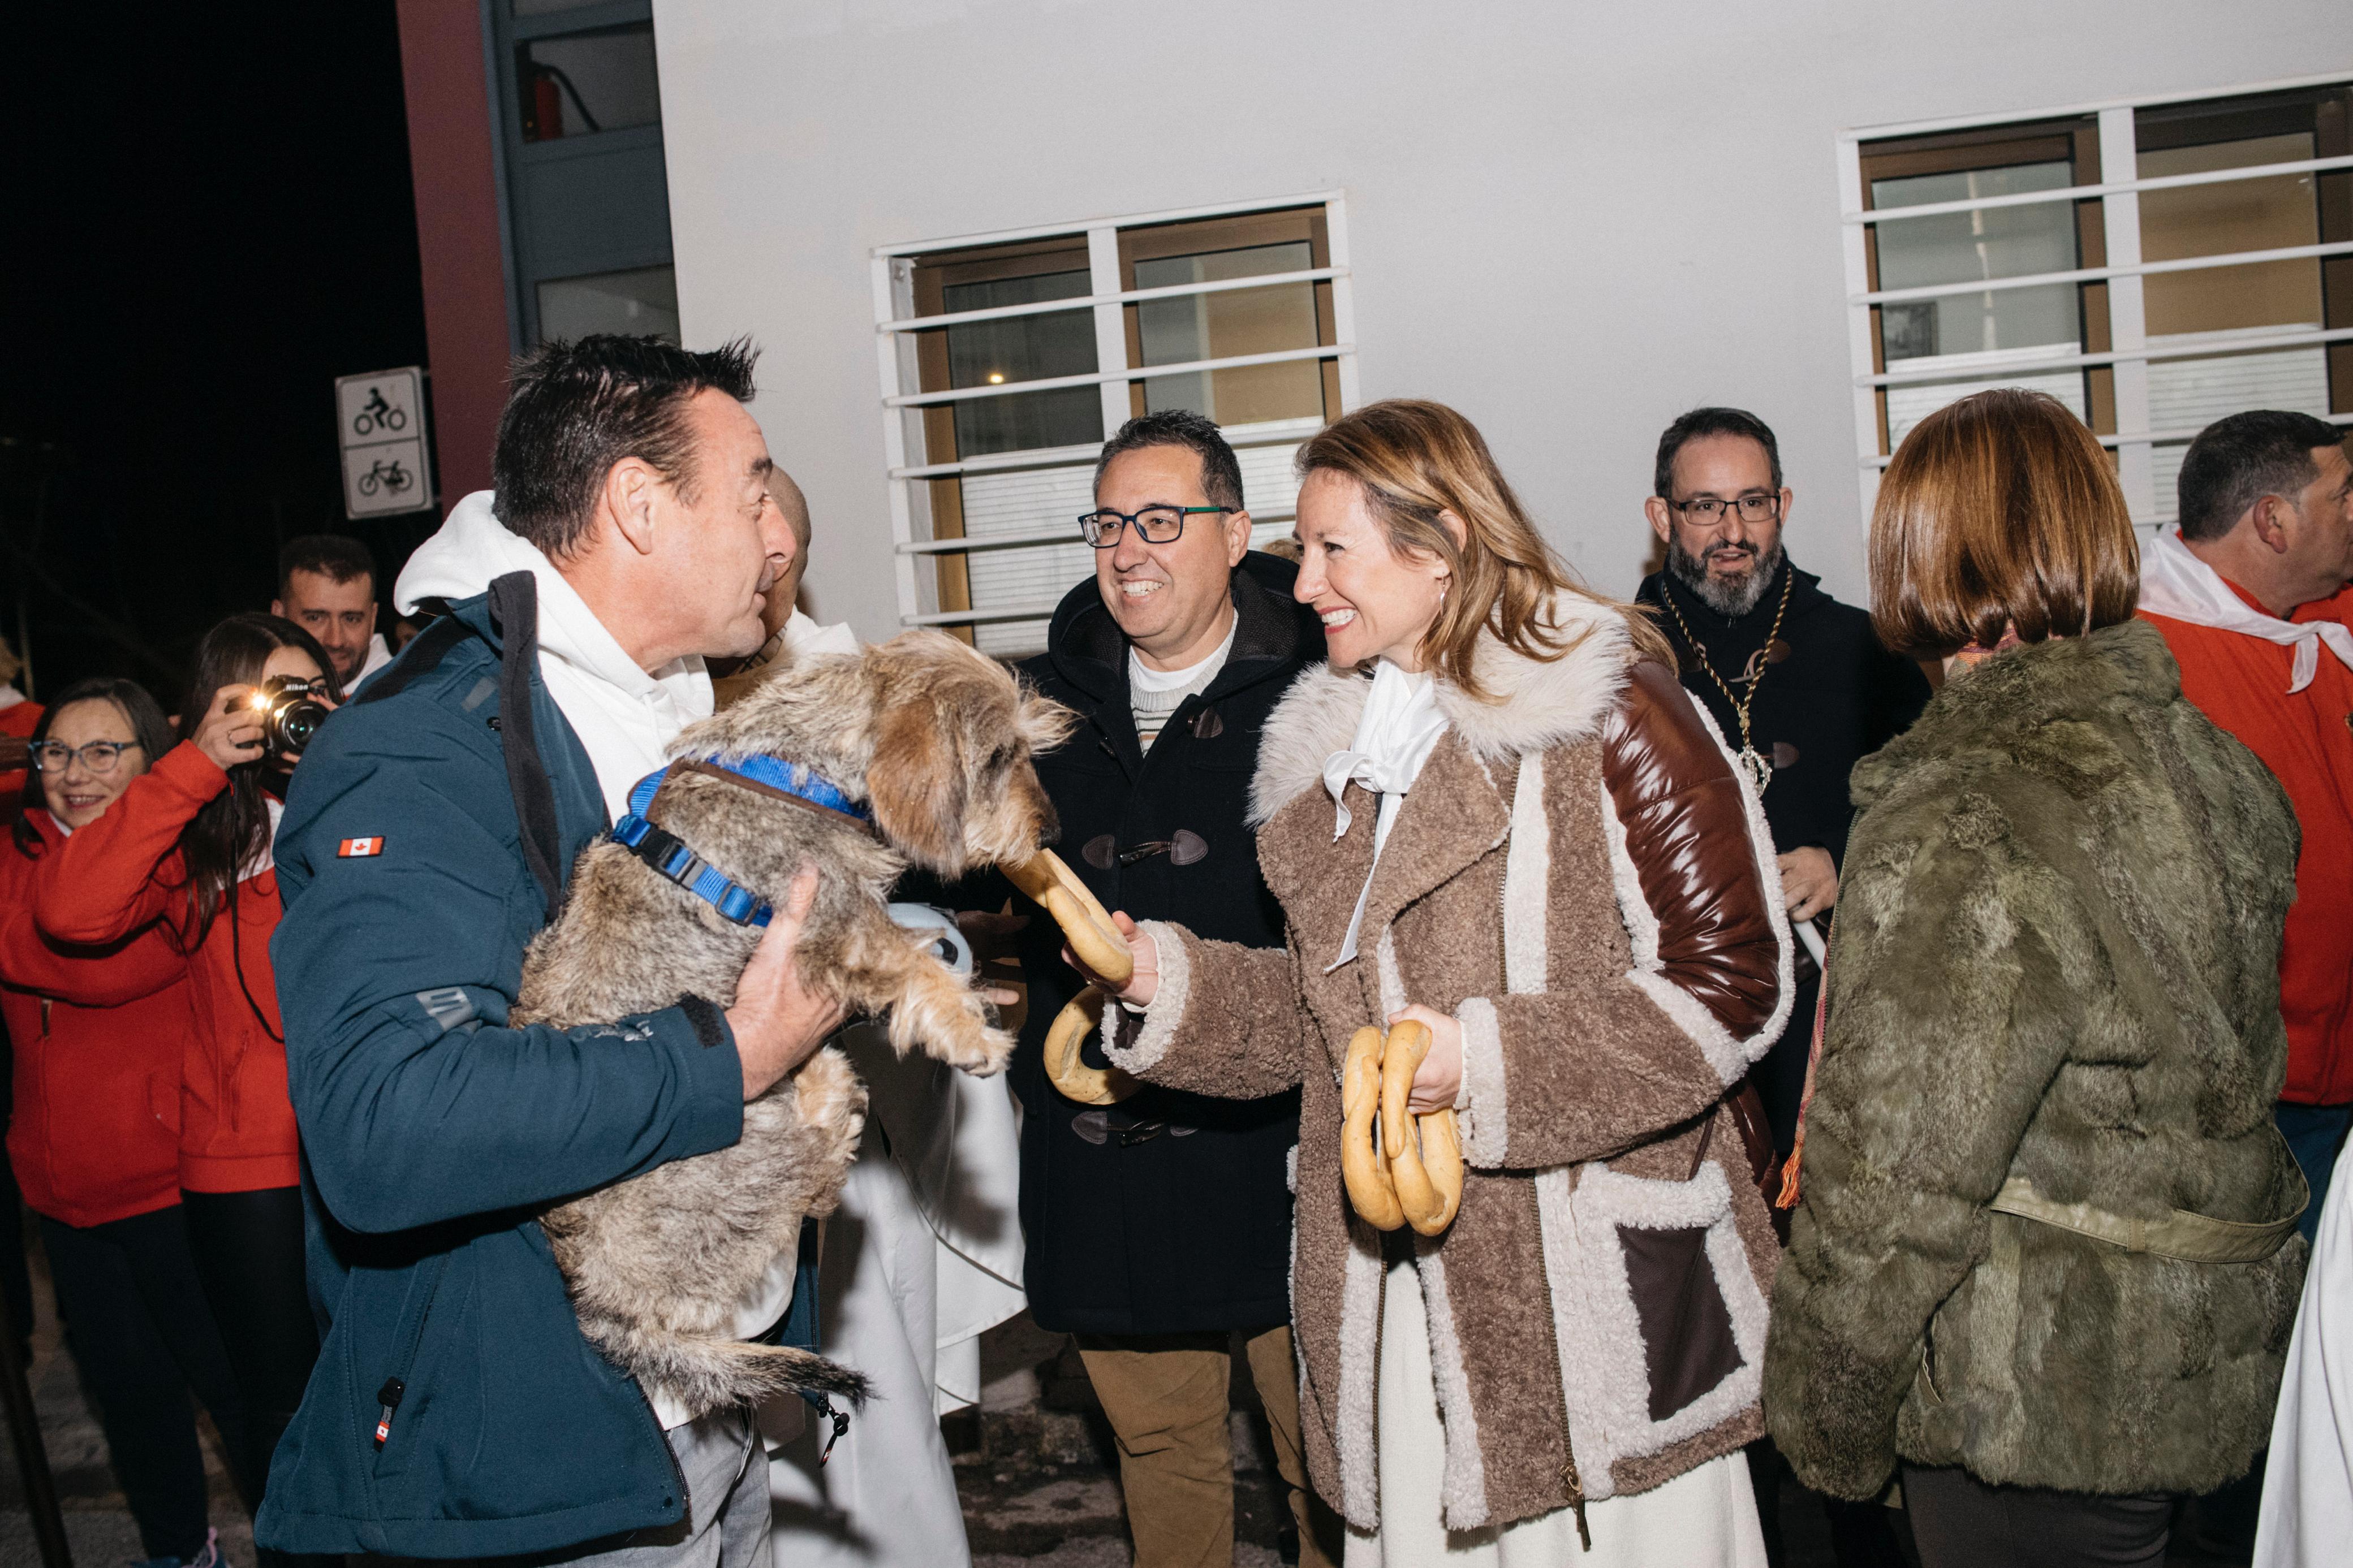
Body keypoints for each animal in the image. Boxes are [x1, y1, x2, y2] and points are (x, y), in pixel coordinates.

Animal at [518, 630, 1078, 1420]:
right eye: (999, 754)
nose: (1050, 832)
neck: (794, 768)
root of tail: (603, 1305)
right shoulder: (836, 919)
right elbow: (910, 963)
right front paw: (966, 1029)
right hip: (749, 1134)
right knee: (809, 1184)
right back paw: (830, 1110)